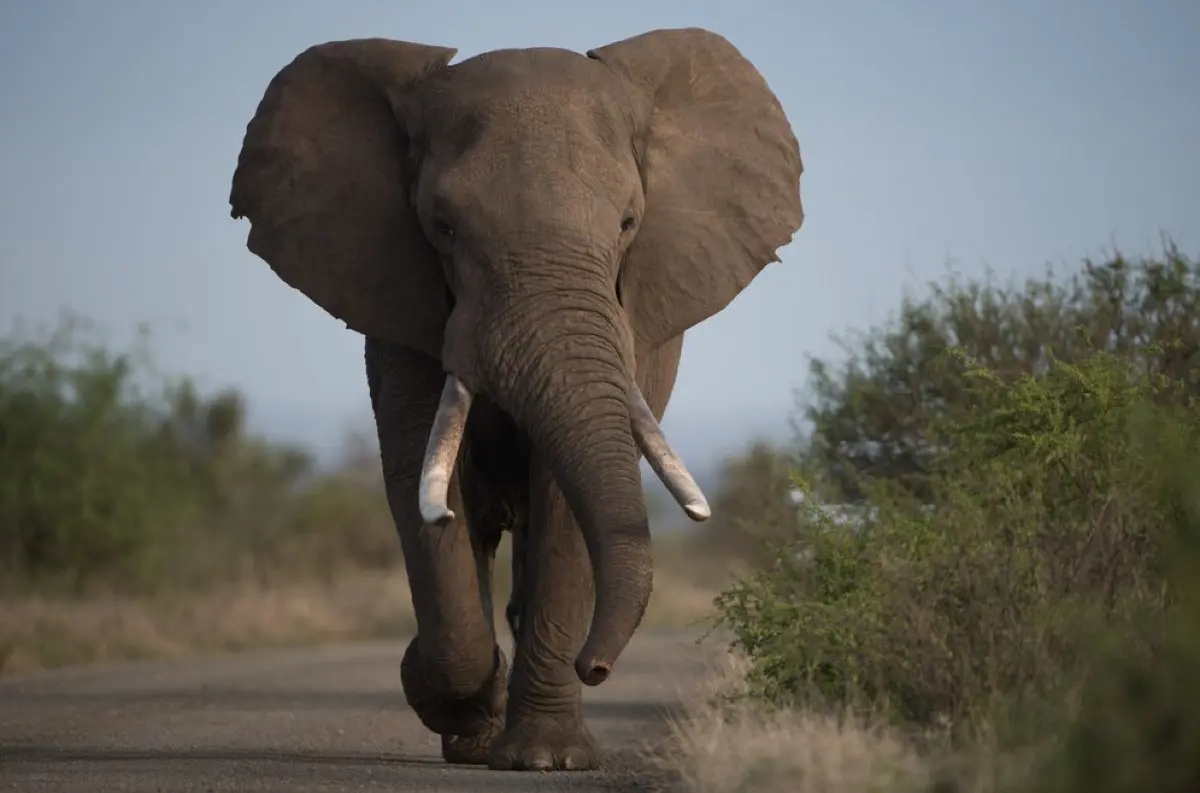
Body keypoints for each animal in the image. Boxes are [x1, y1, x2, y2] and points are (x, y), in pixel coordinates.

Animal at [228, 27, 801, 767]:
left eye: (628, 222)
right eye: (442, 226)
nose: (598, 665)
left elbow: (562, 499)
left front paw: (546, 759)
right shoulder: (400, 298)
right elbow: (421, 482)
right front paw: (451, 699)